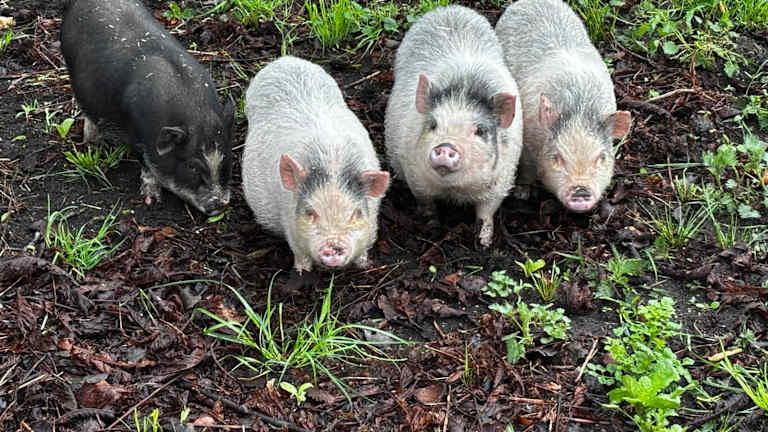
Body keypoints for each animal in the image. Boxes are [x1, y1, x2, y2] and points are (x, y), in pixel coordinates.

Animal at [60, 0, 234, 215]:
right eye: (192, 167)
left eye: (226, 160)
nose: (220, 205)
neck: (195, 113)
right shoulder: (135, 135)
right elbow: (146, 166)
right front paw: (152, 200)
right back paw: (93, 143)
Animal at [242, 56, 390, 273]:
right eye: (310, 212)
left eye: (356, 213)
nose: (333, 245)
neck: (333, 165)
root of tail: (285, 60)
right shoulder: (291, 226)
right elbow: (300, 254)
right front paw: (302, 272)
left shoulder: (371, 225)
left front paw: (365, 265)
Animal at [384, 5, 522, 248]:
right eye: (433, 124)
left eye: (480, 131)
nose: (446, 146)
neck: (454, 189)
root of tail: (449, 9)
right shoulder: (415, 175)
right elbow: (426, 204)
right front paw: (432, 227)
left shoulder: (500, 182)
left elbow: (487, 212)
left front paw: (484, 243)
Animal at [495, 0, 631, 213]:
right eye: (557, 157)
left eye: (601, 157)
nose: (580, 192)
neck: (579, 111)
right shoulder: (527, 147)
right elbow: (526, 170)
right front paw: (521, 195)